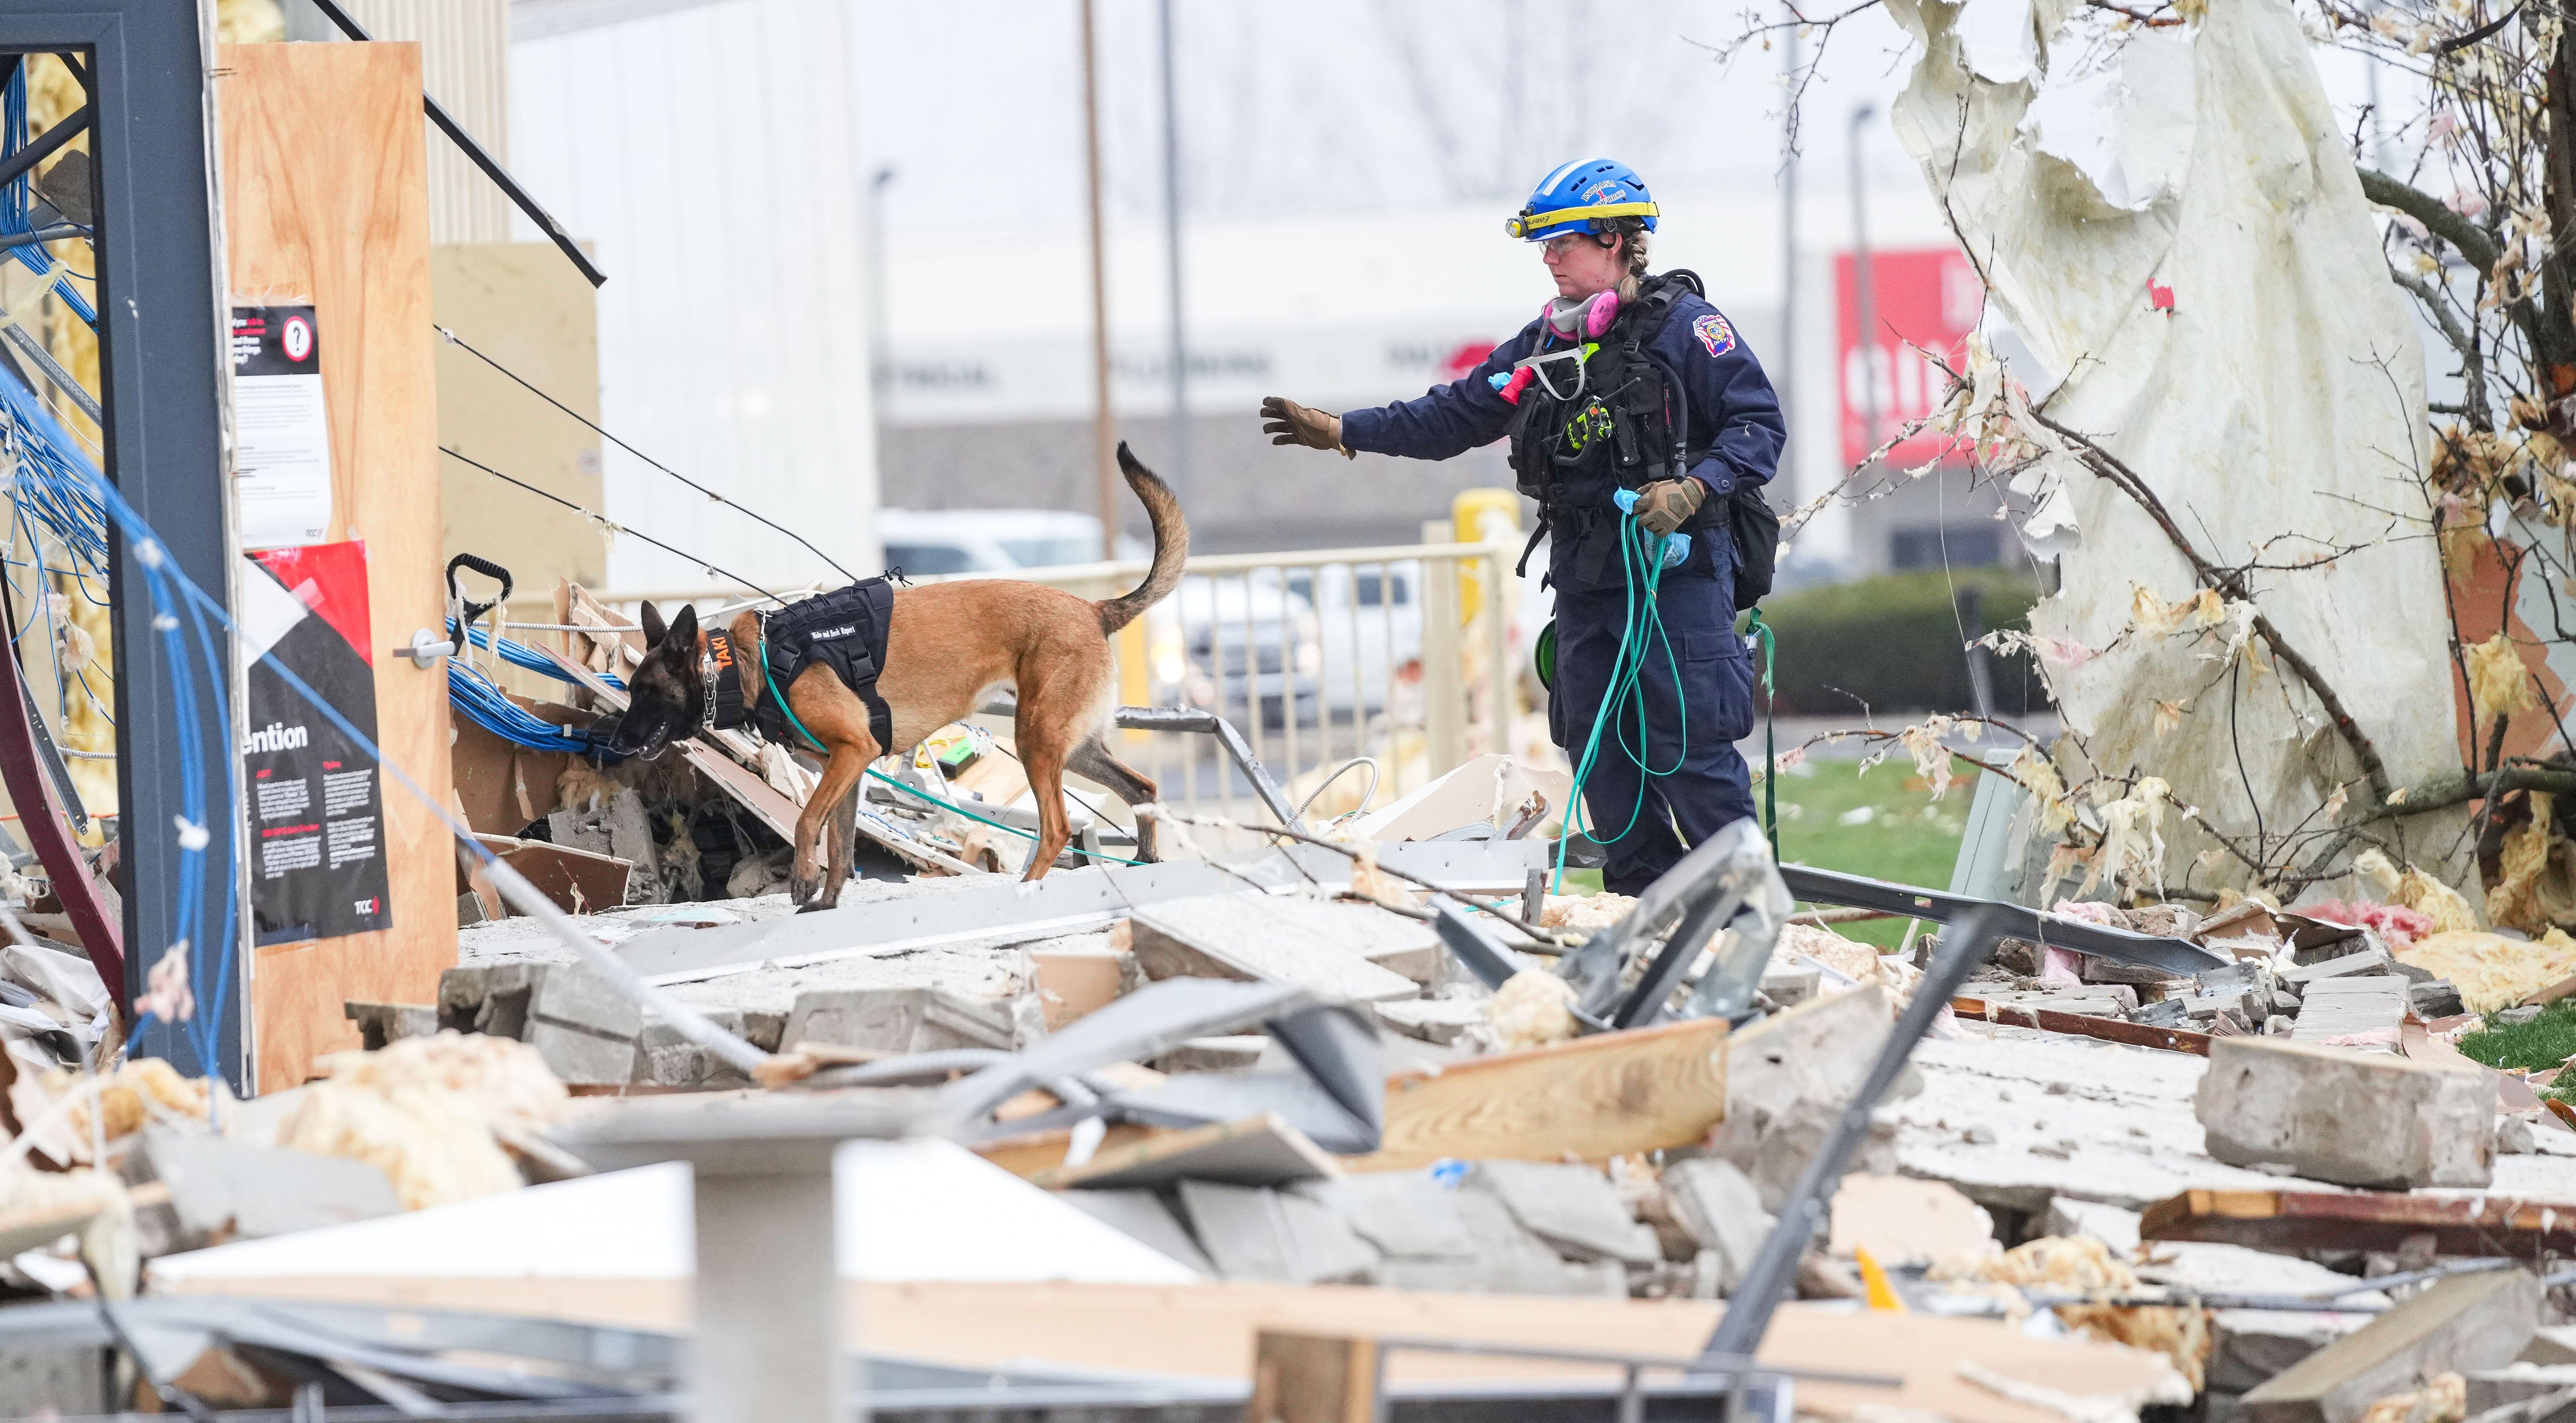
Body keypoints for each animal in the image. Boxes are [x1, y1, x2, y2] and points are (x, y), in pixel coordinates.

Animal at [613, 443, 1185, 912]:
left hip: (1036, 740)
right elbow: (841, 841)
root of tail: (1094, 609)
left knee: (1058, 827)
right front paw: (826, 901)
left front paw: (802, 880)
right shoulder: (849, 764)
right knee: (1142, 788)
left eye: (646, 692)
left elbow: (806, 821)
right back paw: (1148, 862)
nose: (614, 742)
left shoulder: (852, 750)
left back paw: (1027, 886)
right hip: (1072, 744)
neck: (748, 661)